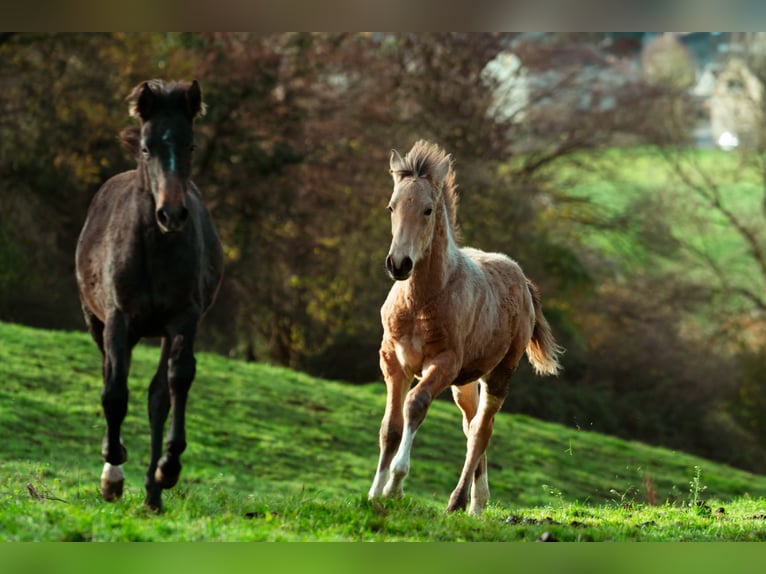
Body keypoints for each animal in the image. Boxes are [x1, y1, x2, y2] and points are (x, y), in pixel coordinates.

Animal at [75, 79, 224, 512]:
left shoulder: (183, 318)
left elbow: (176, 382)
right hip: (98, 322)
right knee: (111, 375)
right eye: (147, 147)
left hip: (160, 330)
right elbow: (113, 392)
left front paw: (168, 468)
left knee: (159, 396)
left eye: (190, 145)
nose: (171, 215)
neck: (155, 250)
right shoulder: (118, 319)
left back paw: (154, 495)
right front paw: (112, 472)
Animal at [368, 140, 563, 514]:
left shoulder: (443, 363)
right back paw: (477, 503)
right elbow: (391, 427)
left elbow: (415, 405)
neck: (420, 301)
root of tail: (522, 279)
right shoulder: (394, 361)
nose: (399, 264)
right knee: (471, 426)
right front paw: (374, 492)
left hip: (499, 373)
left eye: (428, 210)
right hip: (466, 382)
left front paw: (395, 486)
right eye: (391, 207)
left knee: (481, 431)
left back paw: (458, 503)